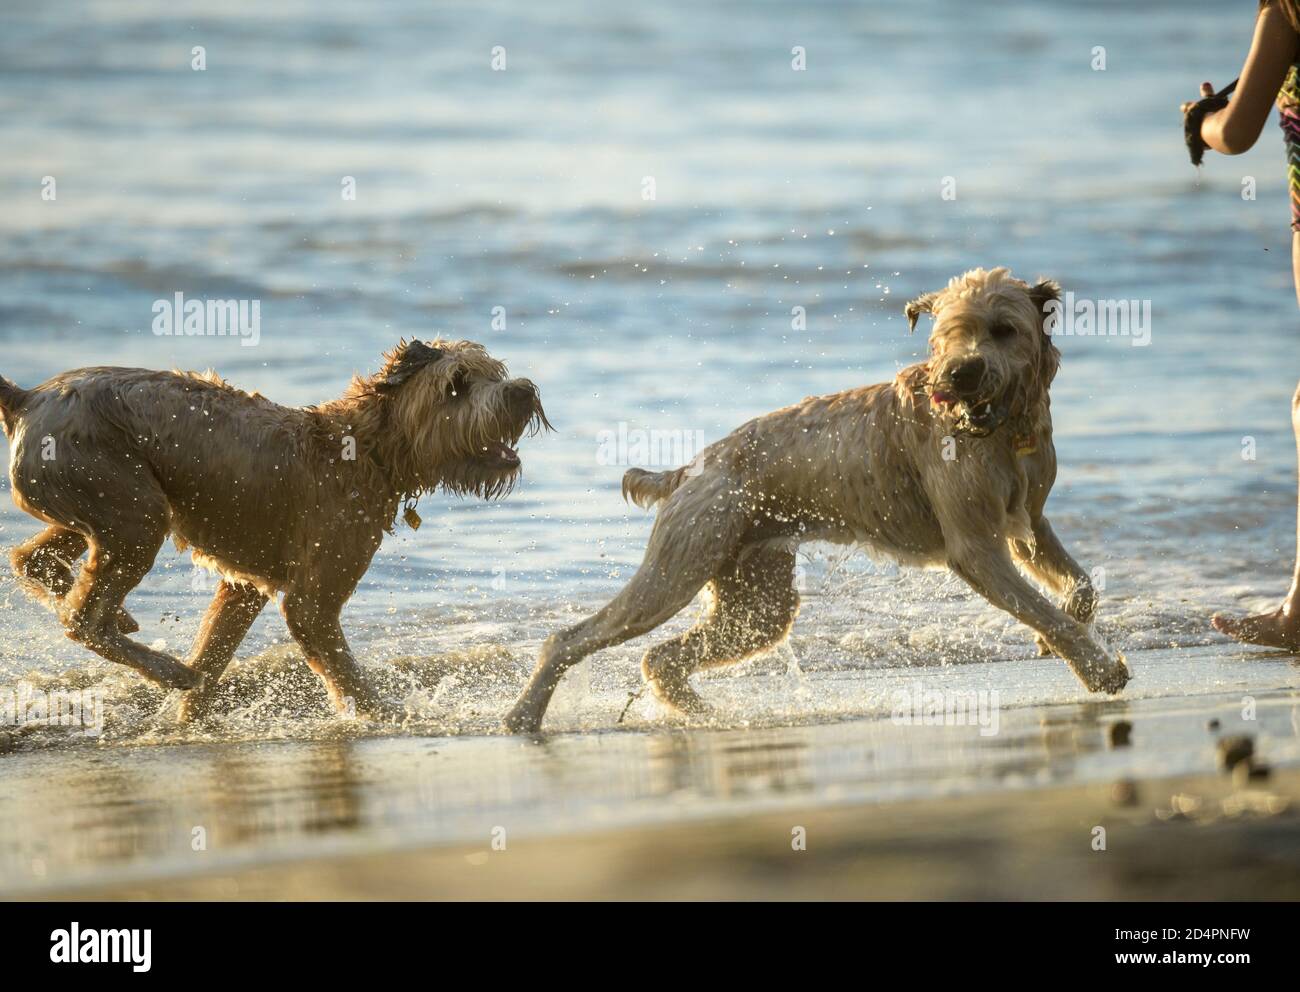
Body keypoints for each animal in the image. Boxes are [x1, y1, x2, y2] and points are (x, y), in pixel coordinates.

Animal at [0, 340, 548, 722]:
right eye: (457, 382)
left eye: (494, 372)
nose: (522, 390)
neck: (366, 451)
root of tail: (28, 398)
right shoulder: (312, 599)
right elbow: (341, 668)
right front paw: (389, 714)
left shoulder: (242, 586)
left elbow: (216, 650)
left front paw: (187, 718)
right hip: (130, 507)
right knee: (81, 619)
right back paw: (168, 668)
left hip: (111, 504)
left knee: (35, 561)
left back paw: (125, 622)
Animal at [501, 267, 1133, 733]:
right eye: (949, 332)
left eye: (1005, 329)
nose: (961, 373)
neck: (1001, 432)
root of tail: (688, 470)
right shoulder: (976, 548)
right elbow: (1050, 612)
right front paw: (1098, 671)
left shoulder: (1027, 524)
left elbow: (1079, 590)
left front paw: (1059, 635)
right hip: (678, 567)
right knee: (572, 638)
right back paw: (523, 716)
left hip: (758, 604)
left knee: (660, 657)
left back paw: (705, 716)